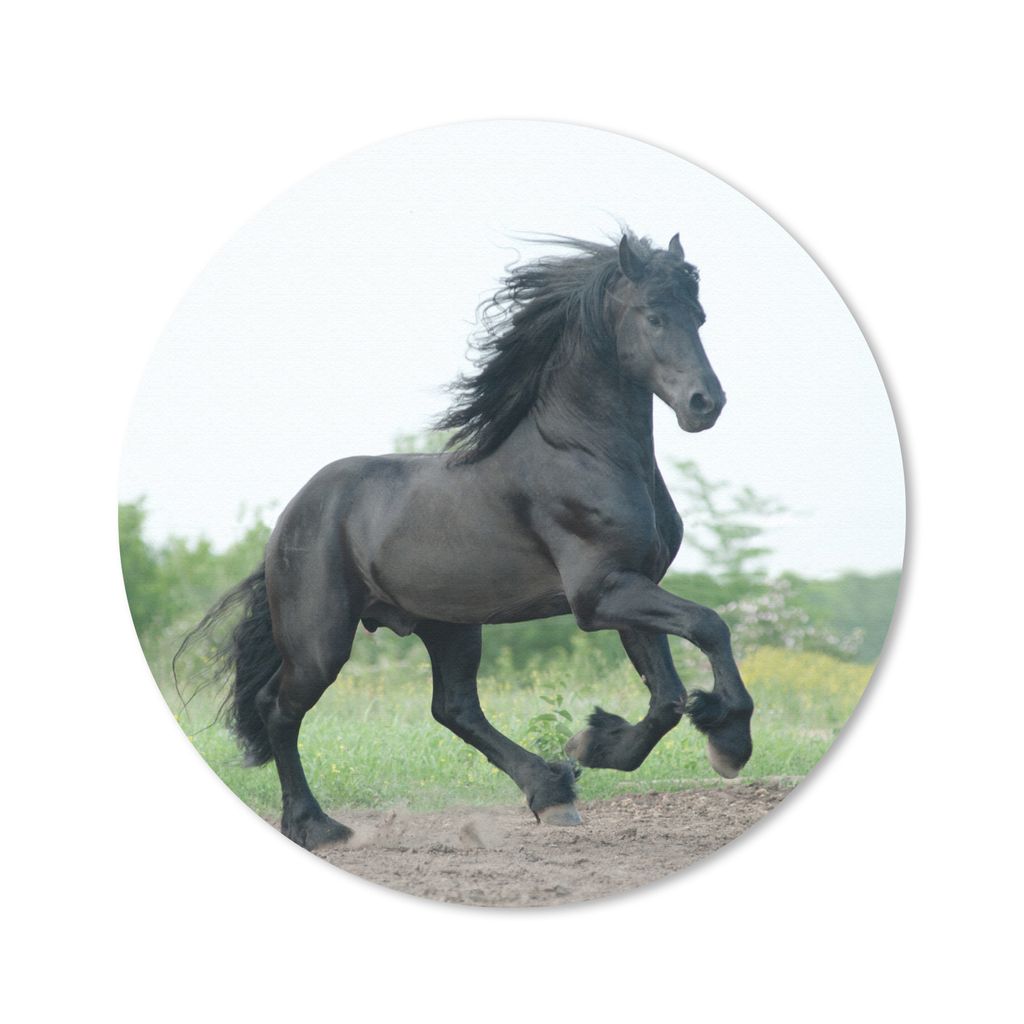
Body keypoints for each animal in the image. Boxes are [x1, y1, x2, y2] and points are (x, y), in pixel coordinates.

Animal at [179, 231, 755, 850]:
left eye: (699, 316)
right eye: (653, 316)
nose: (706, 404)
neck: (583, 454)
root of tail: (290, 517)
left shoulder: (629, 587)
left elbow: (667, 696)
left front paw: (594, 744)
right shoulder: (599, 595)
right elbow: (709, 626)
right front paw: (729, 743)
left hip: (449, 625)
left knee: (454, 708)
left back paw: (551, 791)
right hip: (321, 640)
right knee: (280, 709)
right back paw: (317, 826)